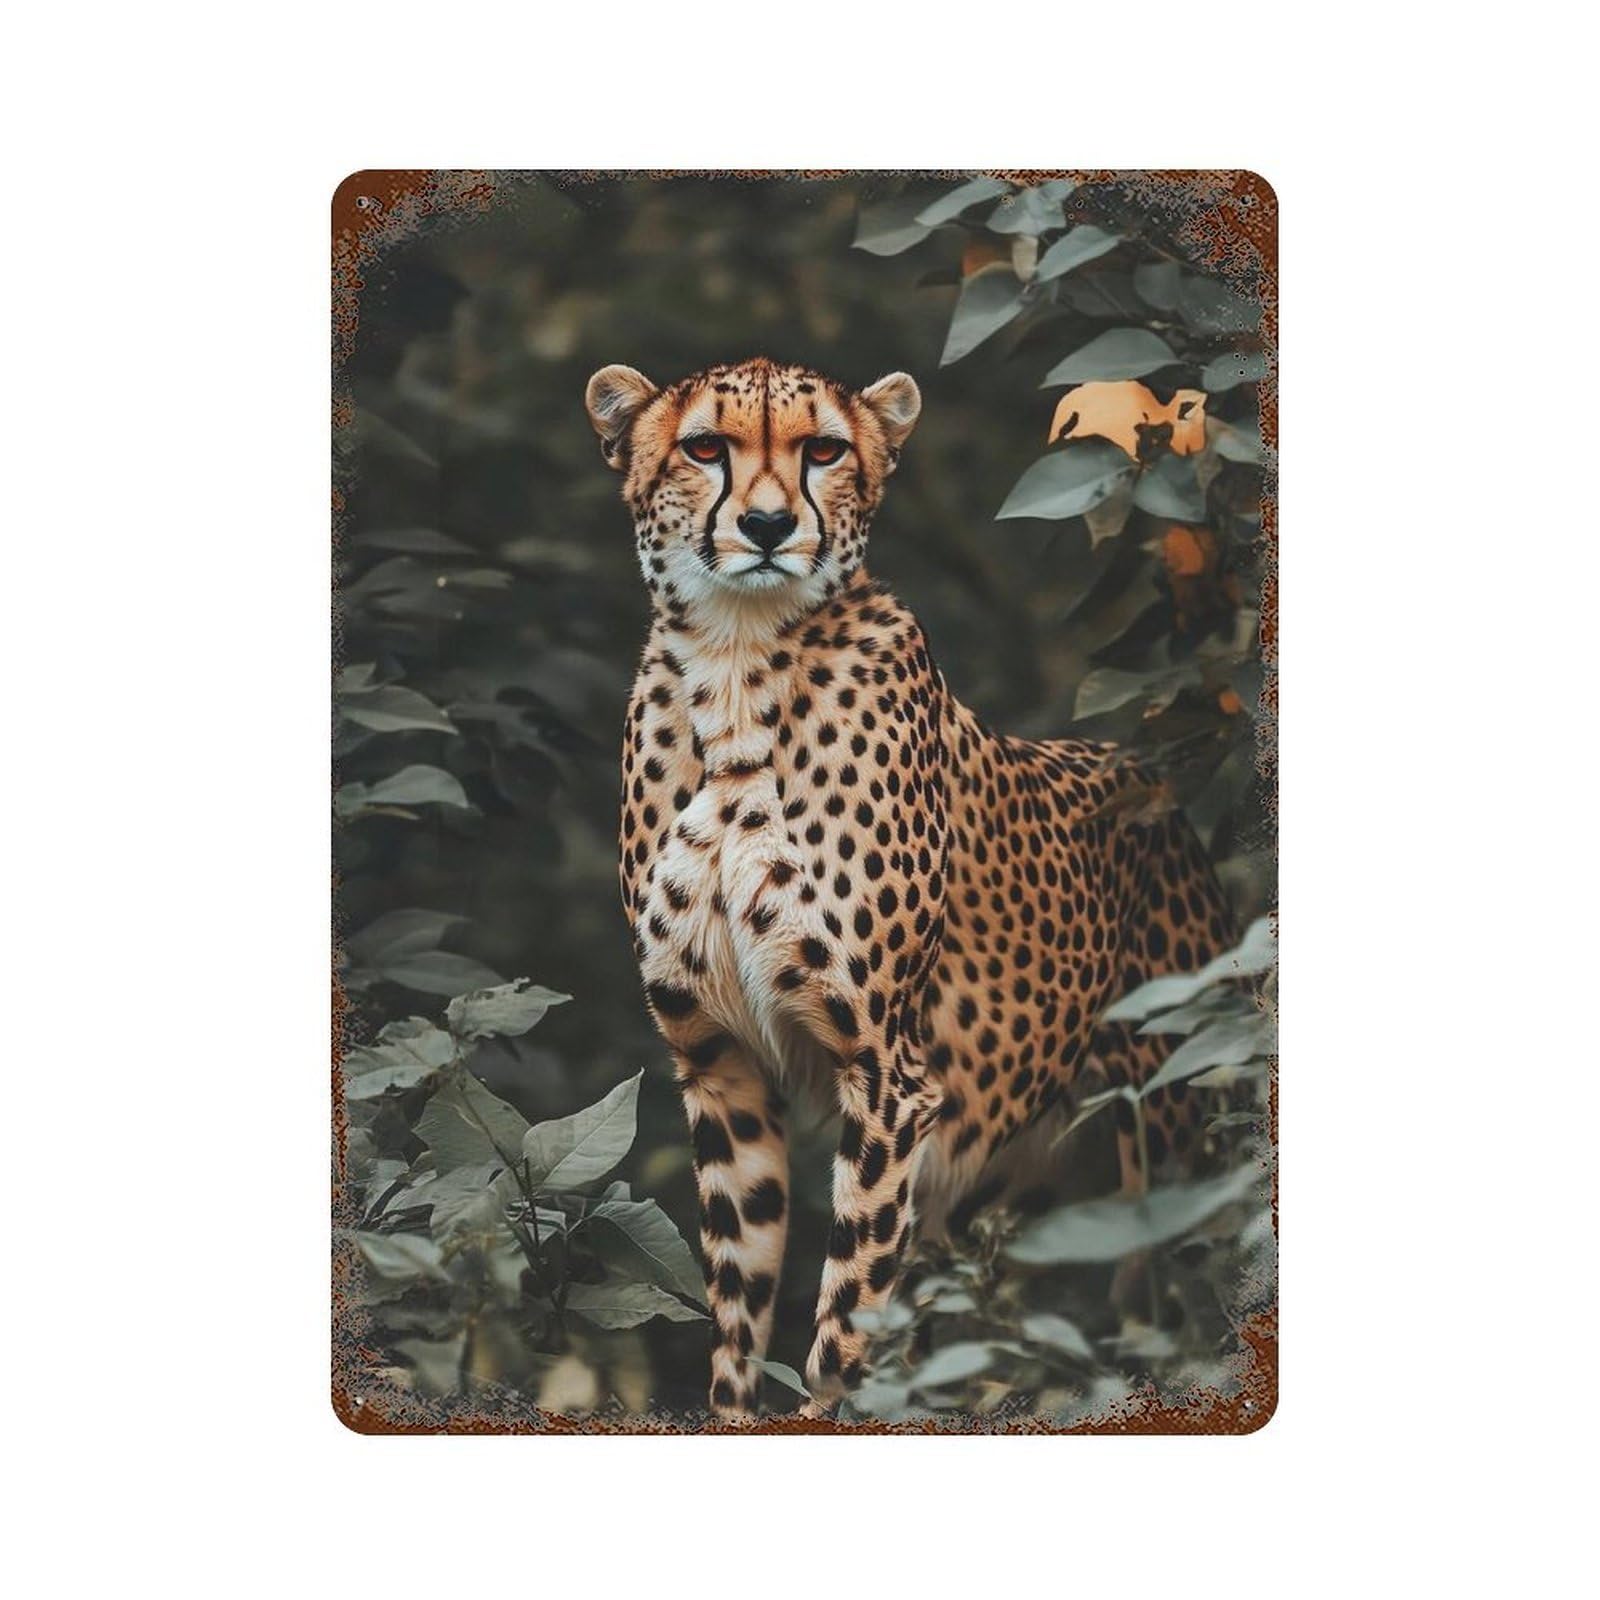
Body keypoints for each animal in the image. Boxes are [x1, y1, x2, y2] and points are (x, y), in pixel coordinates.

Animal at [585, 356, 1235, 1418]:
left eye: (822, 450)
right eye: (705, 447)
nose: (768, 526)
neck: (735, 663)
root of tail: (1149, 776)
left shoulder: (887, 1075)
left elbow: (847, 1314)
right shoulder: (719, 1062)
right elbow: (738, 1311)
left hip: (1176, 1147)